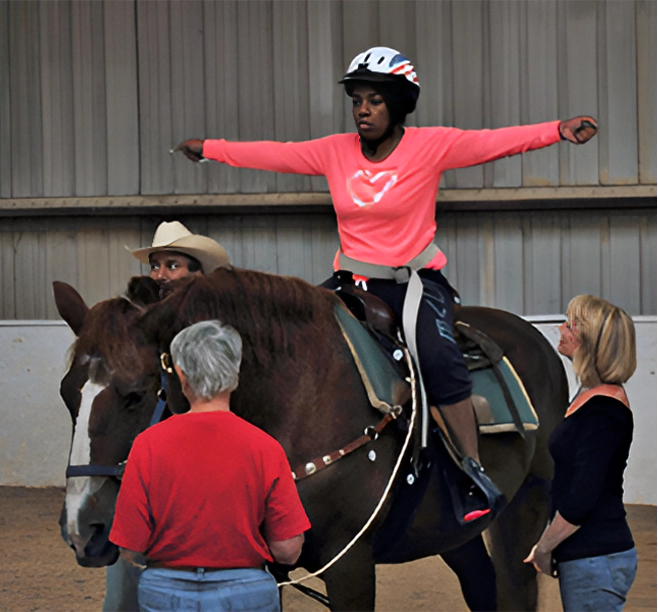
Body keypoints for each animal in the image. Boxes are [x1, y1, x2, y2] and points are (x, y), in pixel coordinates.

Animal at [53, 268, 568, 612]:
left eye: (136, 395)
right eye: (66, 394)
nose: (83, 531)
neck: (296, 403)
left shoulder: (349, 565)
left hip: (526, 505)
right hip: (450, 529)